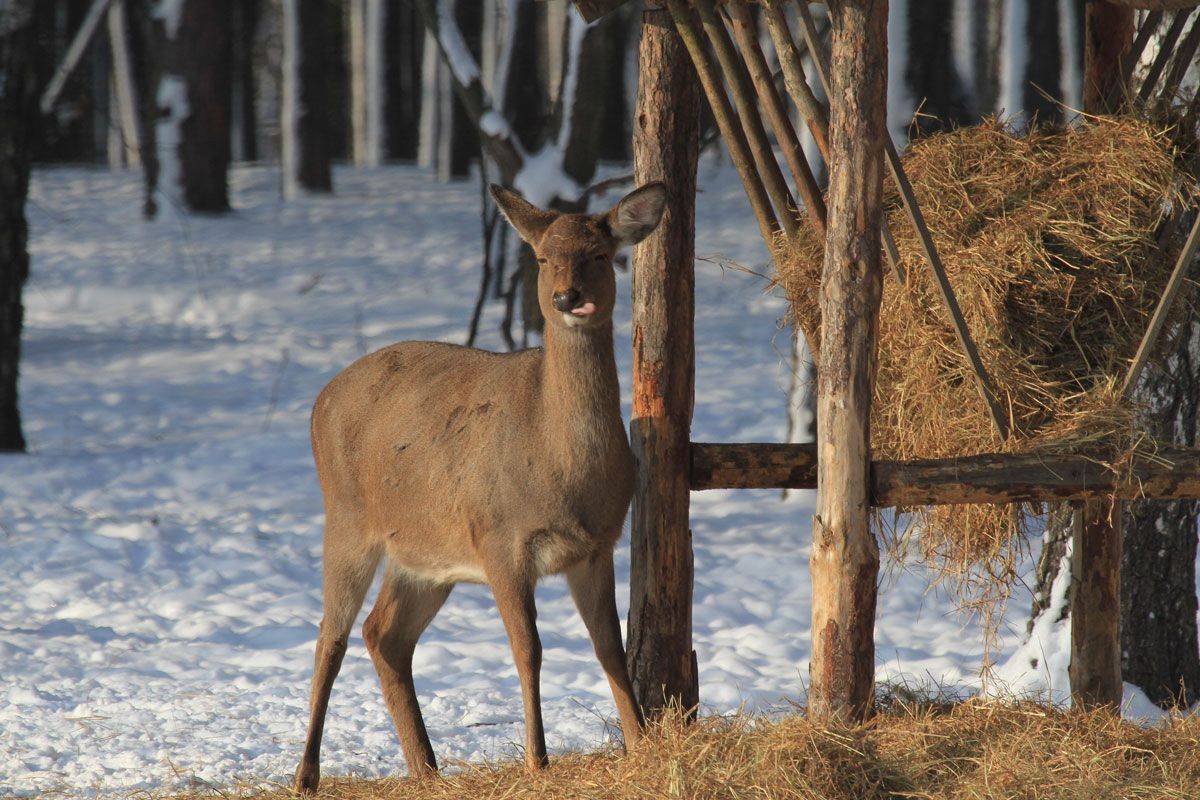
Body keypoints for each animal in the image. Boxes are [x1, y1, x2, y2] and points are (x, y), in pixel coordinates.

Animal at [289, 183, 667, 796]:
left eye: (600, 254)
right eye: (542, 257)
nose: (567, 297)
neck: (562, 466)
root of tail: (320, 399)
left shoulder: (597, 544)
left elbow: (610, 645)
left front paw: (642, 744)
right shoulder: (501, 539)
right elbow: (528, 649)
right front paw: (537, 761)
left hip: (424, 555)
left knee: (383, 633)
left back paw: (426, 767)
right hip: (346, 517)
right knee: (331, 636)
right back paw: (306, 774)